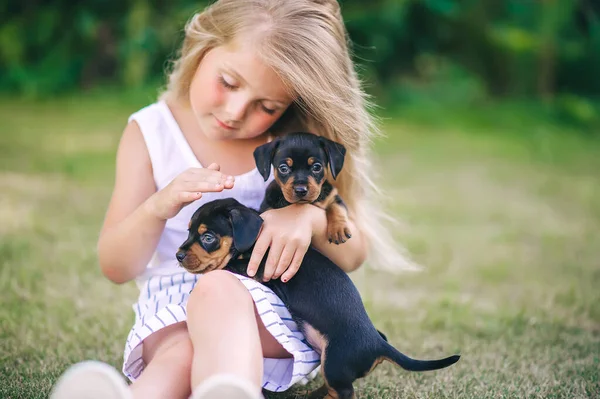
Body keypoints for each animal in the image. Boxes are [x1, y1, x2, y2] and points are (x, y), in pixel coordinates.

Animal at [175, 198, 460, 398]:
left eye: (207, 237)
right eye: (188, 232)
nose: (178, 255)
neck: (254, 241)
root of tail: (378, 345)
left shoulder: (259, 269)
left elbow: (228, 264)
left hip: (334, 362)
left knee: (345, 392)